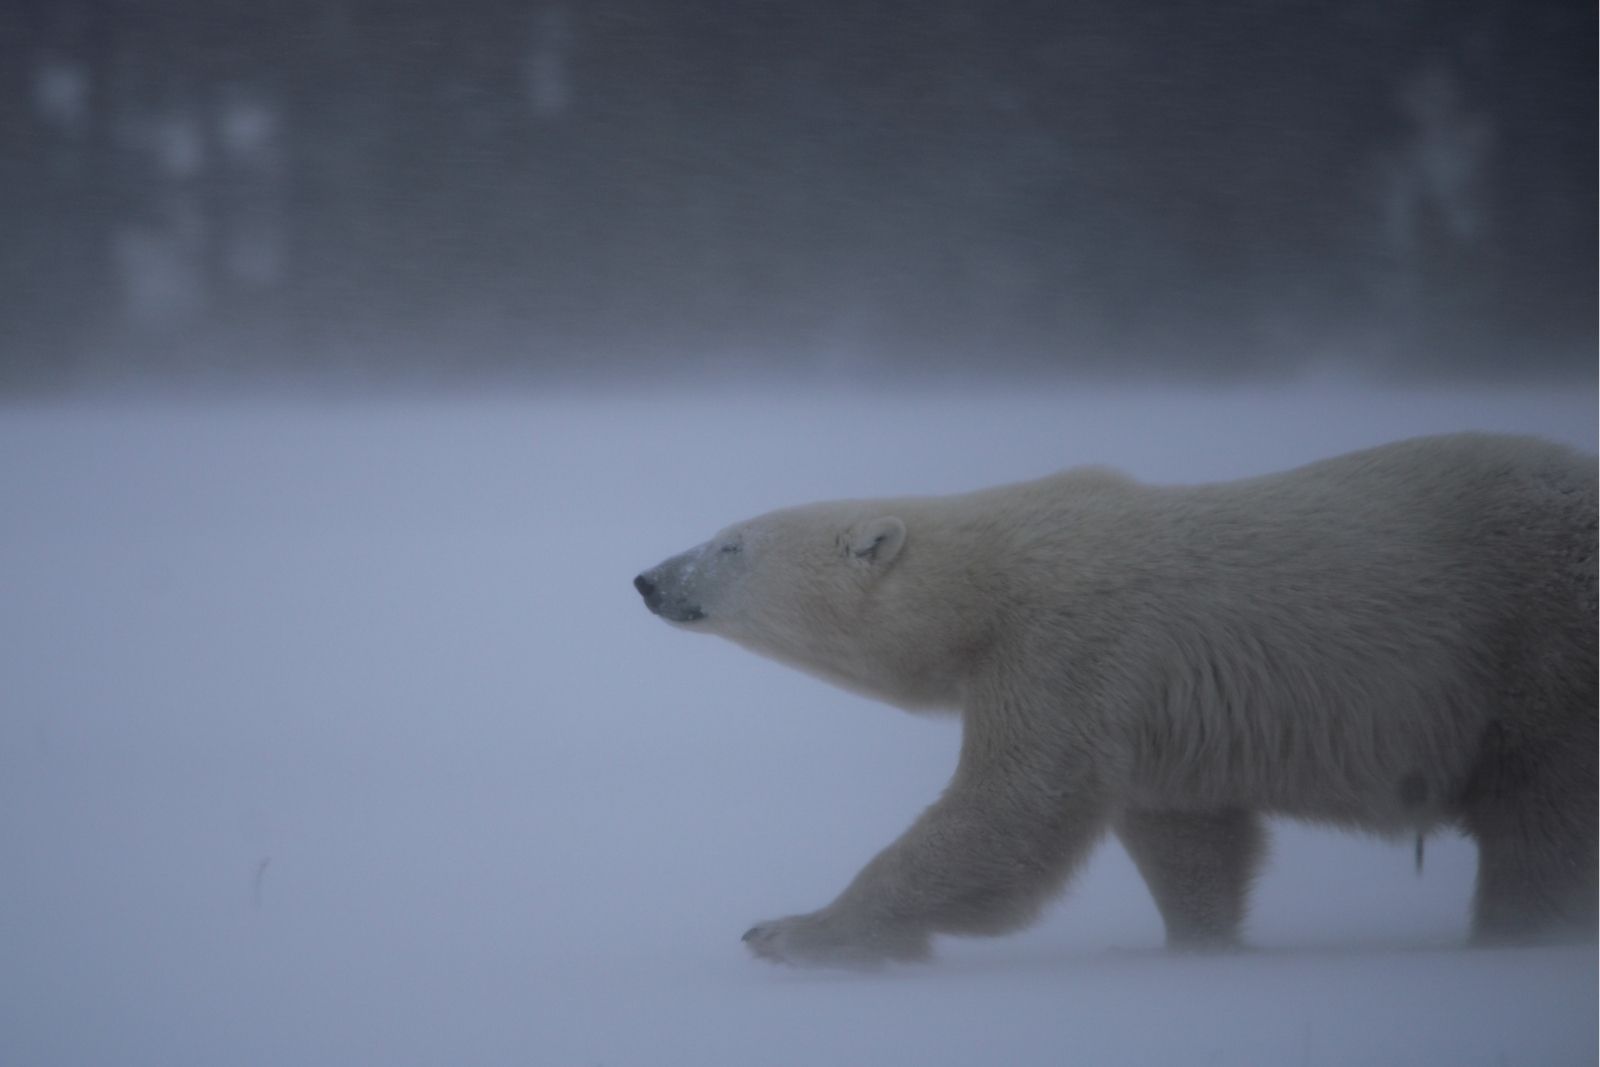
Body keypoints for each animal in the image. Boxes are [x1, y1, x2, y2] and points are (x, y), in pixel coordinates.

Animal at [633, 433, 1597, 967]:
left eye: (731, 545)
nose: (647, 577)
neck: (987, 581)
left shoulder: (1068, 645)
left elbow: (1010, 813)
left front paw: (794, 931)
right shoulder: (1158, 706)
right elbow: (1188, 832)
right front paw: (1190, 944)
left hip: (1541, 643)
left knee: (1540, 812)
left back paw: (1511, 935)